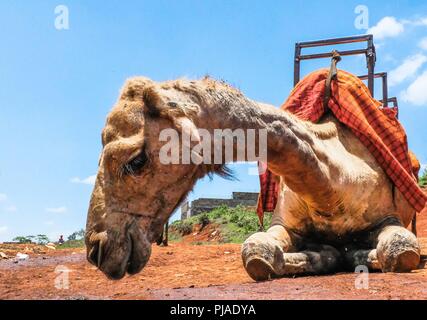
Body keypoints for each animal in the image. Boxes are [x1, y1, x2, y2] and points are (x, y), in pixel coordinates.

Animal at [86, 75, 422, 280]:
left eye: (136, 160)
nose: (97, 248)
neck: (332, 187)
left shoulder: (388, 219)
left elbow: (399, 249)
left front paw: (360, 255)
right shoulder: (285, 224)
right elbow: (256, 251)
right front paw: (321, 256)